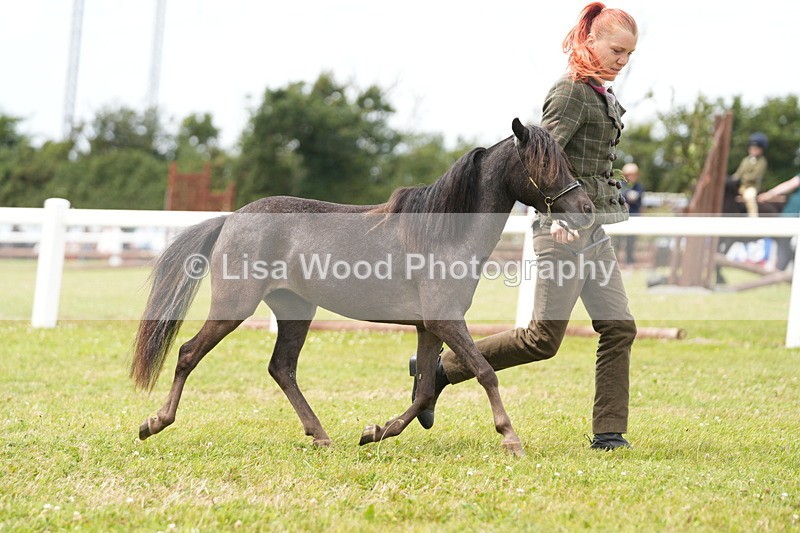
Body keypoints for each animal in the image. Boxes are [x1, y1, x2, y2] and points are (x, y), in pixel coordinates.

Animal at [130, 118, 595, 456]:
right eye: (544, 165)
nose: (587, 210)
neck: (443, 234)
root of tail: (231, 218)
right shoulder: (446, 321)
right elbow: (484, 371)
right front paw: (510, 438)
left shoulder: (429, 327)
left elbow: (425, 389)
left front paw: (376, 431)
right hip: (235, 306)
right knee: (189, 353)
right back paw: (154, 422)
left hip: (295, 309)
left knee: (282, 368)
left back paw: (321, 435)